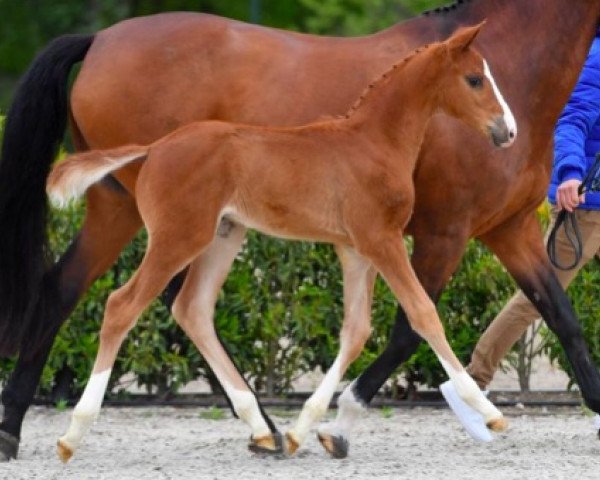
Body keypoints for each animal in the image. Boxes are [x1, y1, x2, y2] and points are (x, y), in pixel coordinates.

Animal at [1, 0, 600, 464]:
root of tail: (100, 39)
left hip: (172, 221)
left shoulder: (502, 230)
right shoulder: (432, 234)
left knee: (136, 299)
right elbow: (415, 324)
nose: (506, 130)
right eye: (475, 78)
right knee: (116, 301)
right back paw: (50, 431)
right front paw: (347, 424)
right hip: (154, 223)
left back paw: (260, 428)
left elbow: (560, 317)